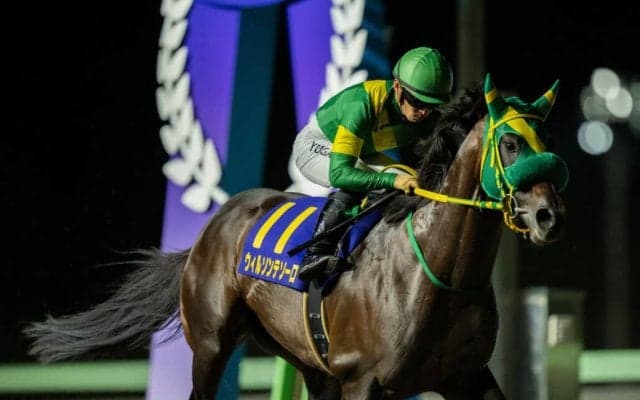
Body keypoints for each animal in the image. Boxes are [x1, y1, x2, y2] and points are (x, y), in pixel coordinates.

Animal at [24, 73, 568, 400]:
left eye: (547, 141)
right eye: (510, 142)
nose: (548, 216)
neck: (437, 272)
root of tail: (213, 226)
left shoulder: (467, 375)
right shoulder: (362, 379)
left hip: (308, 362)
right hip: (211, 345)